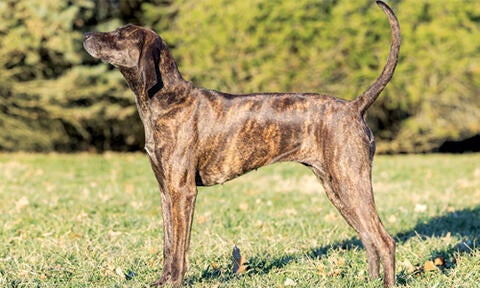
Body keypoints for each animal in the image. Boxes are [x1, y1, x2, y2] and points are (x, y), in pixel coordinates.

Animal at [83, 1, 402, 286]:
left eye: (118, 34)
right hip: (338, 189)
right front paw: (162, 280)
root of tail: (354, 106)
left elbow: (179, 249)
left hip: (351, 182)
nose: (85, 35)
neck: (165, 99)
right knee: (369, 238)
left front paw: (173, 282)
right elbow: (168, 245)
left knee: (384, 240)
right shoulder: (166, 190)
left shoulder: (182, 192)